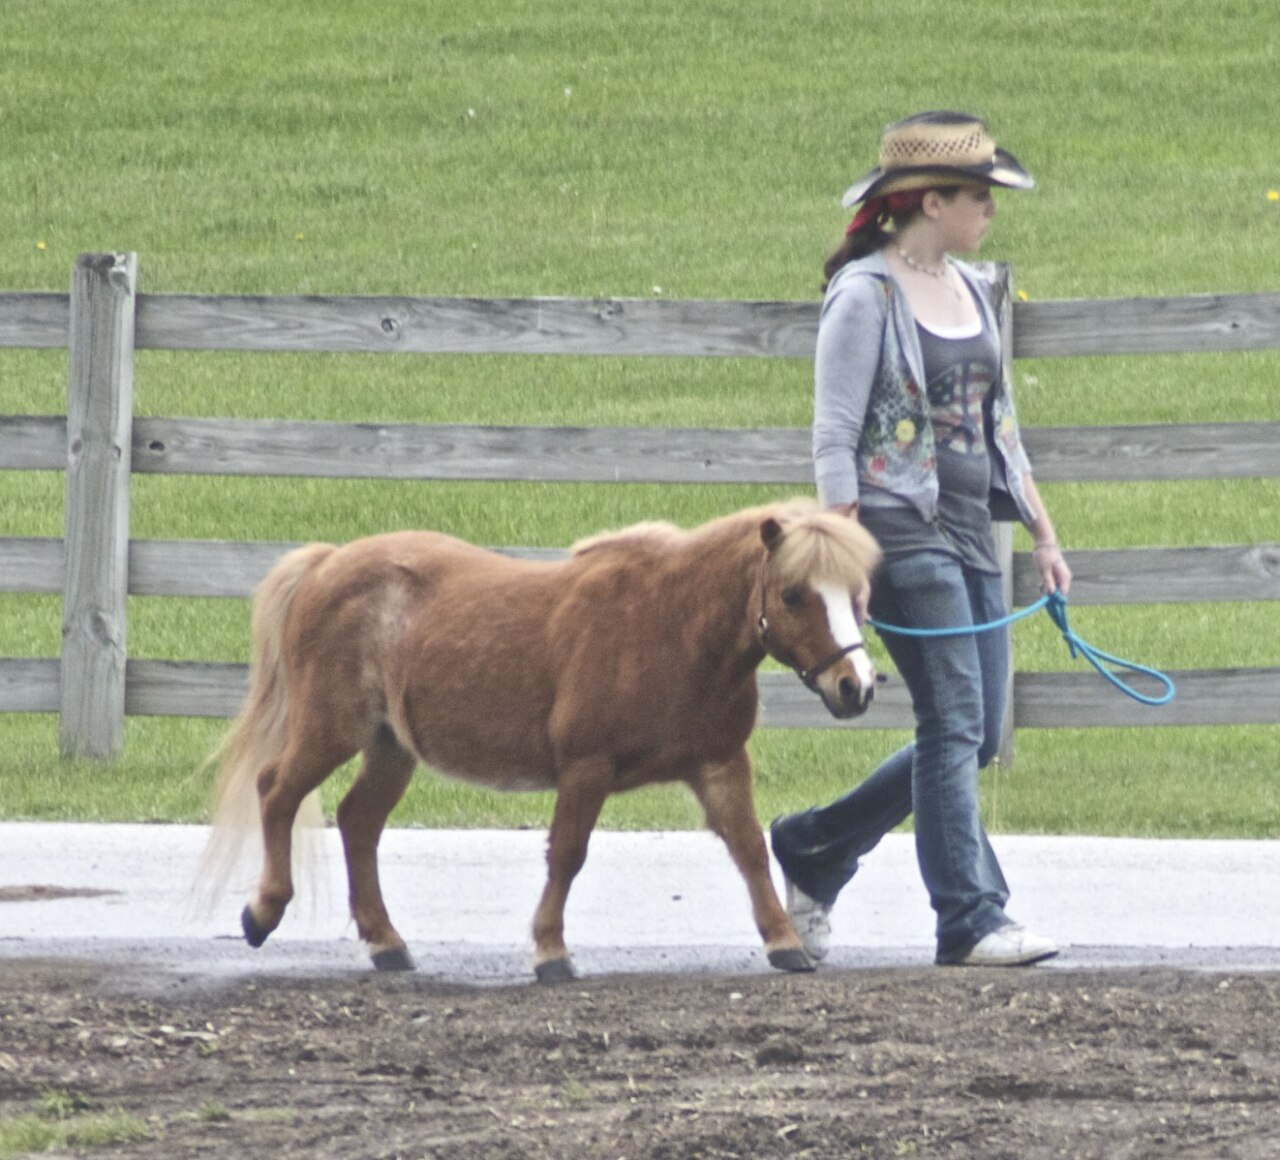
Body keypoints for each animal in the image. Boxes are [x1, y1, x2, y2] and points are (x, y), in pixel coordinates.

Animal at [199, 494, 880, 978]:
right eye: (793, 594)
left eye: (859, 593)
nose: (856, 686)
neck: (669, 628)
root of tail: (327, 562)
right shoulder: (586, 768)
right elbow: (568, 855)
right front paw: (551, 950)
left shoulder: (720, 764)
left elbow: (749, 849)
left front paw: (785, 942)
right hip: (330, 730)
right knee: (277, 791)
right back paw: (263, 910)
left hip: (392, 748)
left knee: (357, 822)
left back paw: (386, 942)